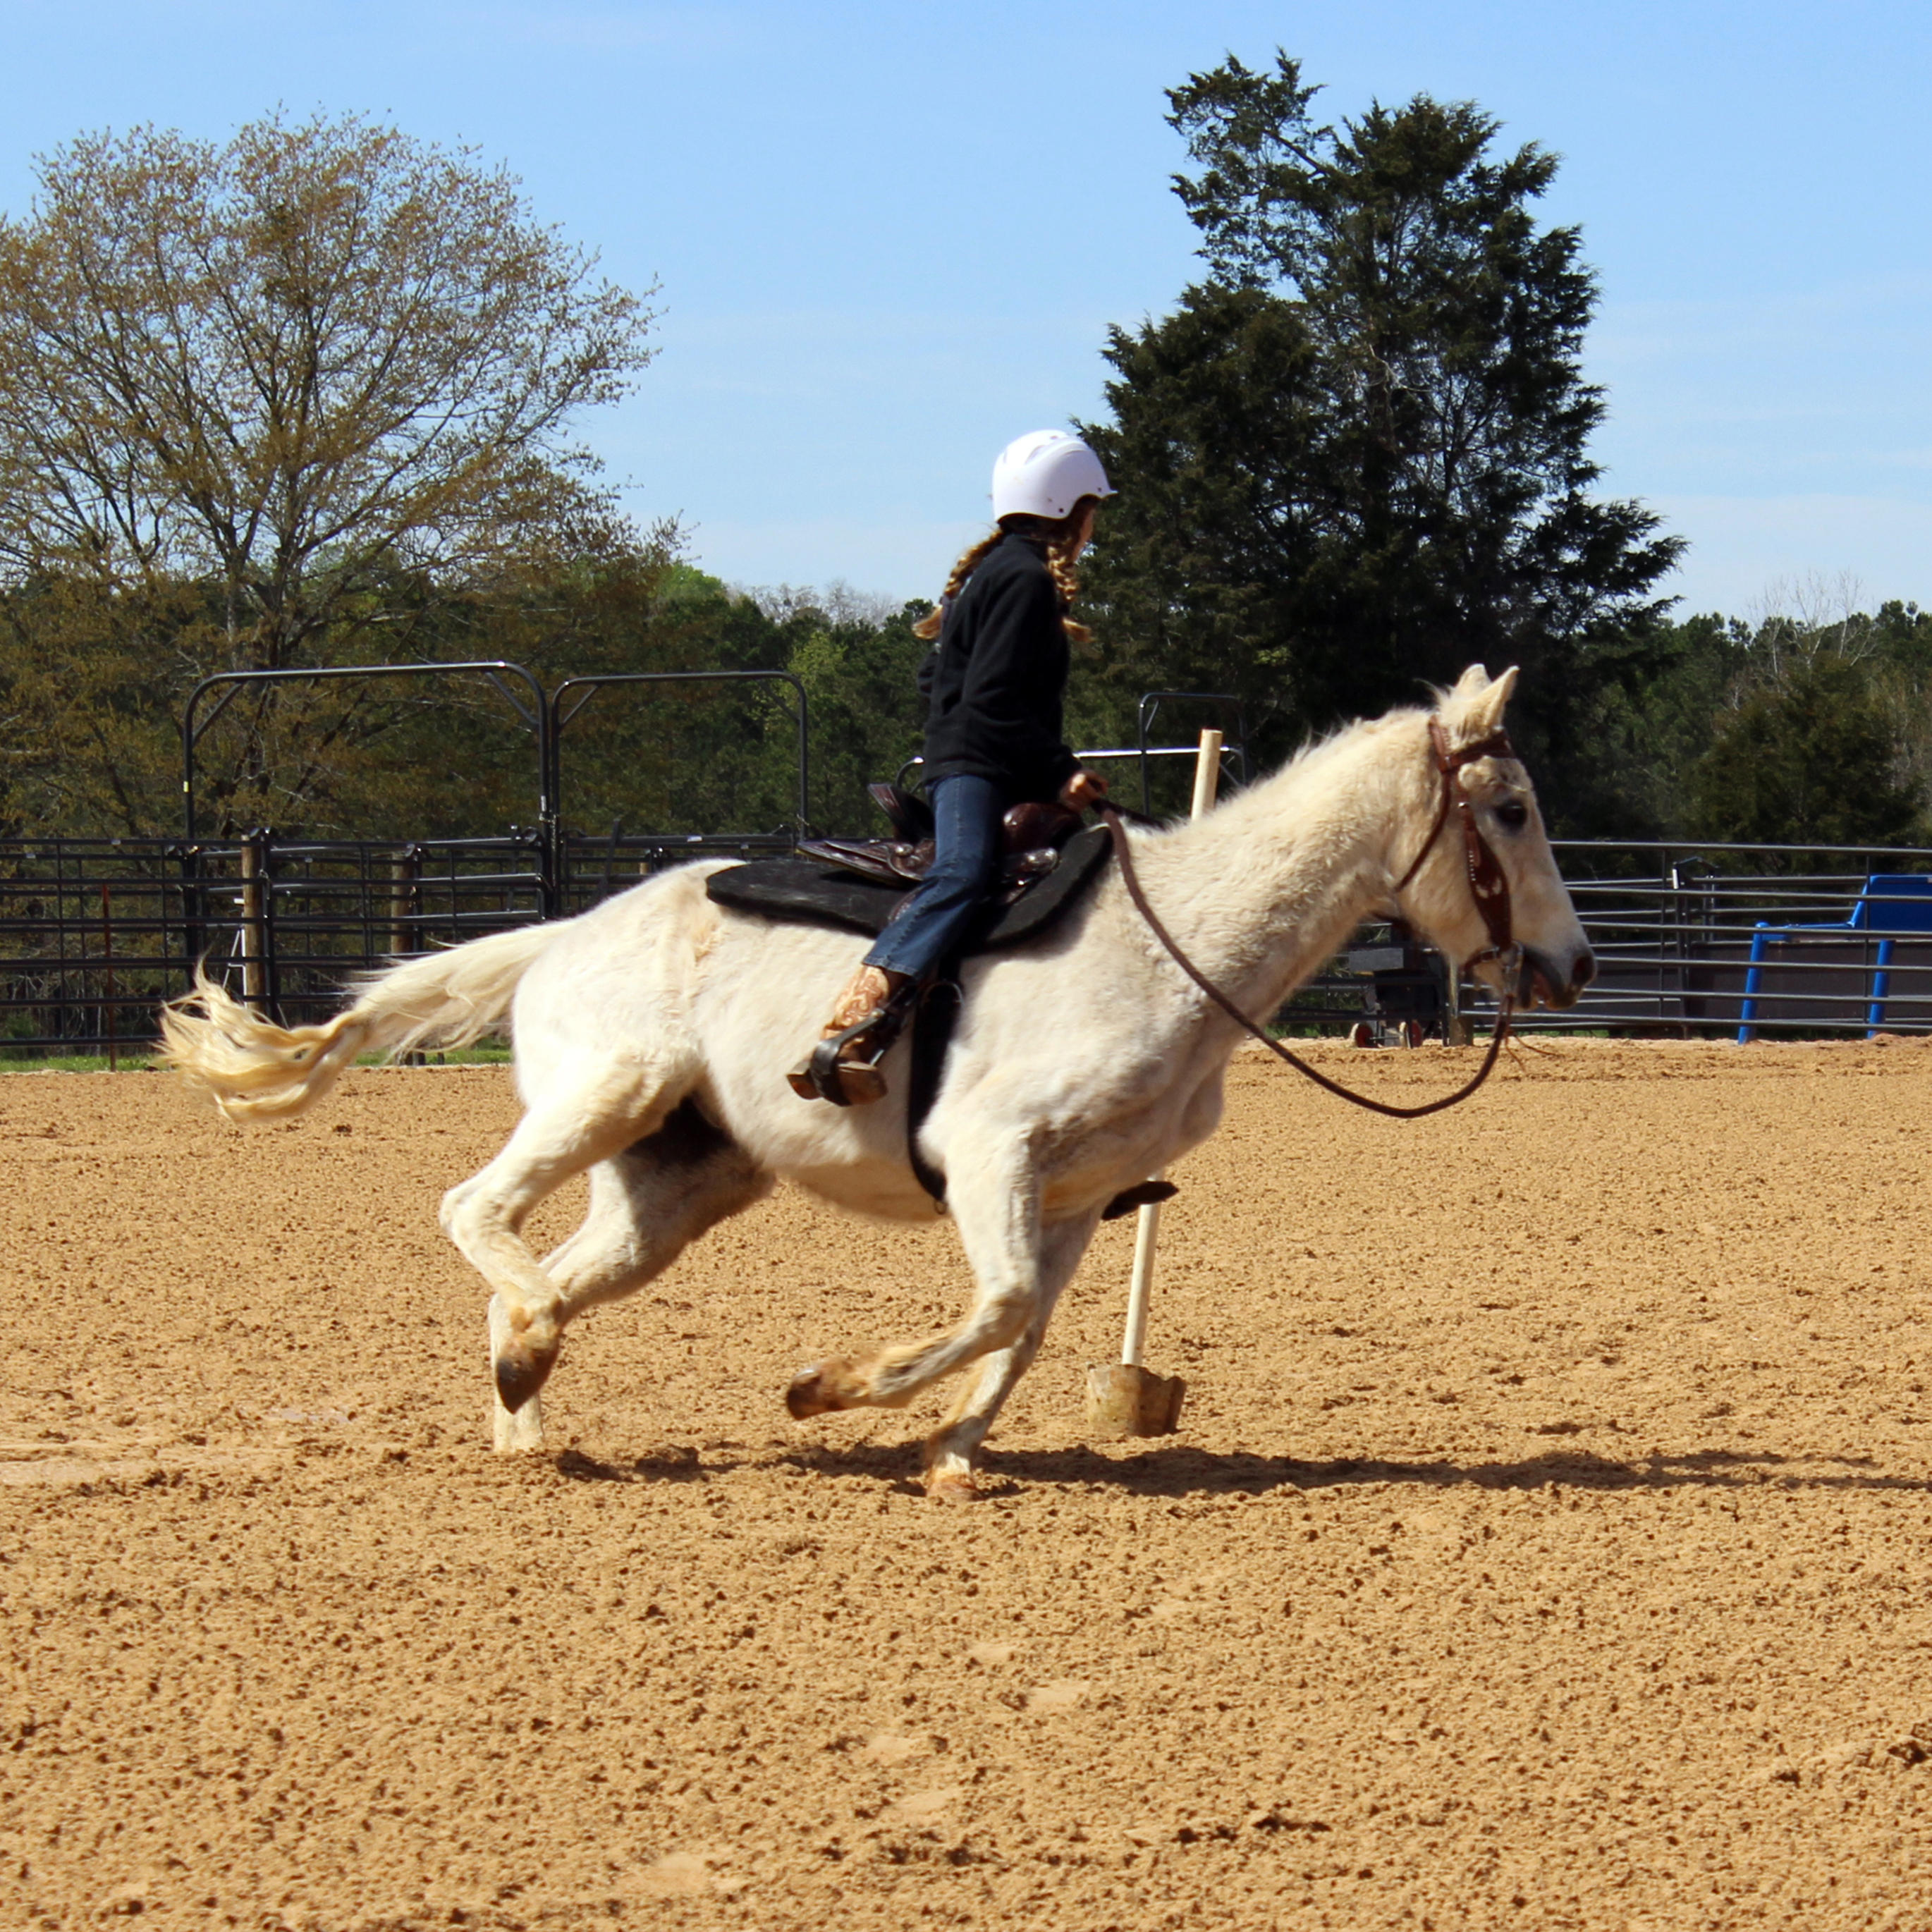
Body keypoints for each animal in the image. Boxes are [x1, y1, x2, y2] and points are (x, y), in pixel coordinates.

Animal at [166, 672, 1584, 1499]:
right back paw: (531, 1344)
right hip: (607, 1092)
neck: (1171, 945)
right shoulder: (993, 1154)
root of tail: (560, 933)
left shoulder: (1083, 1197)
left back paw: (526, 1417)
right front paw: (832, 1391)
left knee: (554, 1266)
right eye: (1511, 808)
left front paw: (954, 1456)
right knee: (478, 1212)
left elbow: (1024, 1328)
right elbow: (996, 1306)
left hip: (676, 1185)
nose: (1570, 964)